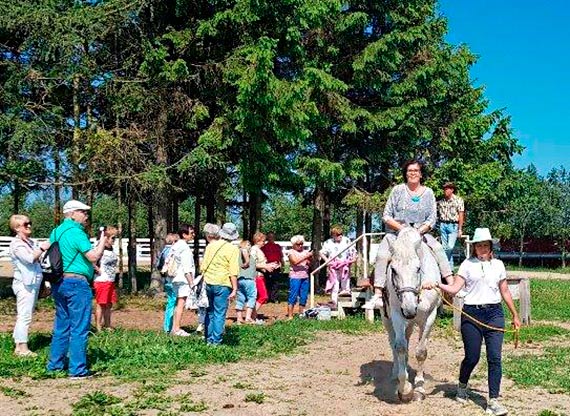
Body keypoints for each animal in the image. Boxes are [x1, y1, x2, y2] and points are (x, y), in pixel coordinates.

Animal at [382, 228, 440, 404]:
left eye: (418, 268)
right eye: (393, 270)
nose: (409, 309)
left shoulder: (430, 317)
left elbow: (421, 351)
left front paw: (419, 388)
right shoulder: (396, 316)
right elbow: (400, 347)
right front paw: (404, 389)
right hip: (387, 319)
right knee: (393, 343)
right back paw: (396, 372)